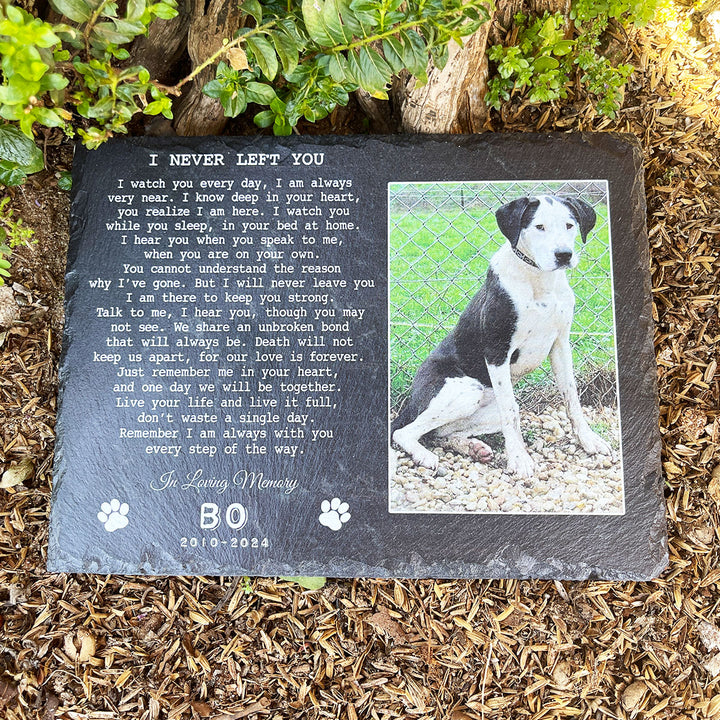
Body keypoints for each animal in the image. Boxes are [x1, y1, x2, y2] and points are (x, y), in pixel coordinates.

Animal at [390, 193, 612, 478]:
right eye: (539, 227)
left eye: (569, 225)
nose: (564, 255)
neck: (538, 280)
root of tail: (412, 399)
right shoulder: (497, 351)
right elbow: (511, 414)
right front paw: (519, 459)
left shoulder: (561, 345)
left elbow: (572, 398)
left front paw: (588, 440)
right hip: (465, 390)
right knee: (404, 432)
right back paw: (425, 456)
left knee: (439, 433)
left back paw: (471, 447)